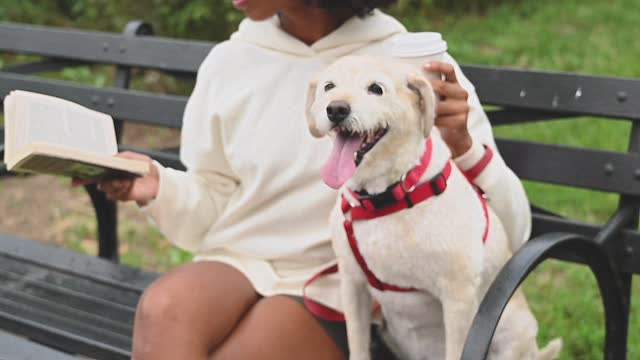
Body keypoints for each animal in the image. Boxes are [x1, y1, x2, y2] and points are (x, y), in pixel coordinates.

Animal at [304, 56, 560, 360]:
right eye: (329, 86)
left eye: (376, 89)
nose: (336, 109)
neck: (388, 195)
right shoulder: (353, 285)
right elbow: (357, 346)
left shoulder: (458, 297)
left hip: (513, 334)